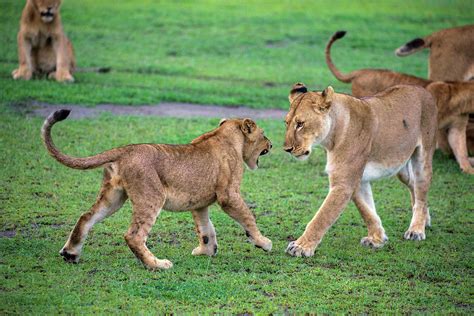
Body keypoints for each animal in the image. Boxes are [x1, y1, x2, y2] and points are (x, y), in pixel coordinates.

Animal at [41, 110, 274, 270]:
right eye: (264, 134)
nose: (271, 145)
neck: (227, 136)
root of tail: (126, 150)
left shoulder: (199, 203)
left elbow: (205, 229)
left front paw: (205, 251)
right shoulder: (228, 195)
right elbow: (248, 217)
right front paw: (263, 242)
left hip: (113, 197)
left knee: (86, 217)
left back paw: (70, 253)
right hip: (152, 197)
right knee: (133, 236)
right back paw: (157, 264)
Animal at [284, 83, 436, 256]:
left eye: (300, 124)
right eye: (286, 123)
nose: (287, 149)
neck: (331, 138)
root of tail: (422, 89)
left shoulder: (344, 183)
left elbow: (322, 217)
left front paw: (301, 246)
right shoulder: (357, 179)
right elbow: (367, 210)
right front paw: (377, 238)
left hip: (422, 159)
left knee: (421, 192)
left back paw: (416, 230)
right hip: (401, 168)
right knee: (414, 187)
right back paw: (426, 219)